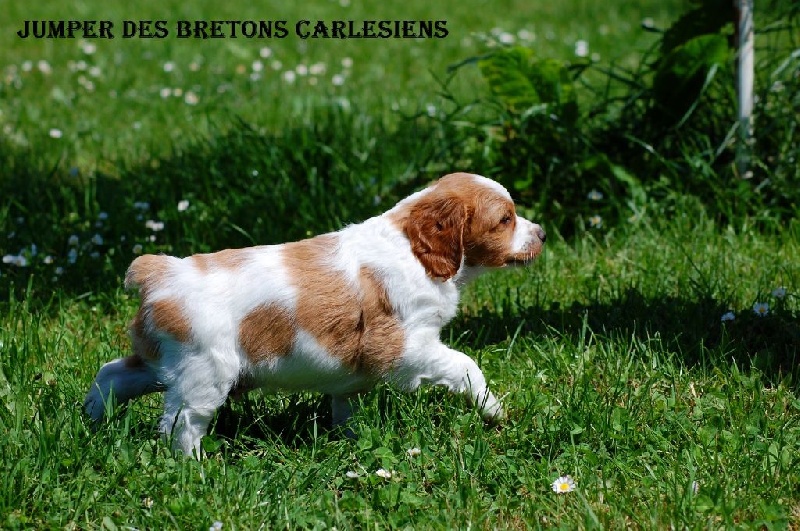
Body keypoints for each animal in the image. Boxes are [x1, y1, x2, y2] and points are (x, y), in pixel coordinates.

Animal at [85, 172, 546, 455]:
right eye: (505, 219)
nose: (541, 233)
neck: (412, 248)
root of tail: (159, 272)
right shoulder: (406, 346)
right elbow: (465, 365)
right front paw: (494, 410)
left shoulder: (357, 371)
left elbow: (347, 404)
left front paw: (351, 439)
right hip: (205, 372)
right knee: (181, 424)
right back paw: (193, 468)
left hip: (164, 360)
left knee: (114, 373)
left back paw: (90, 420)